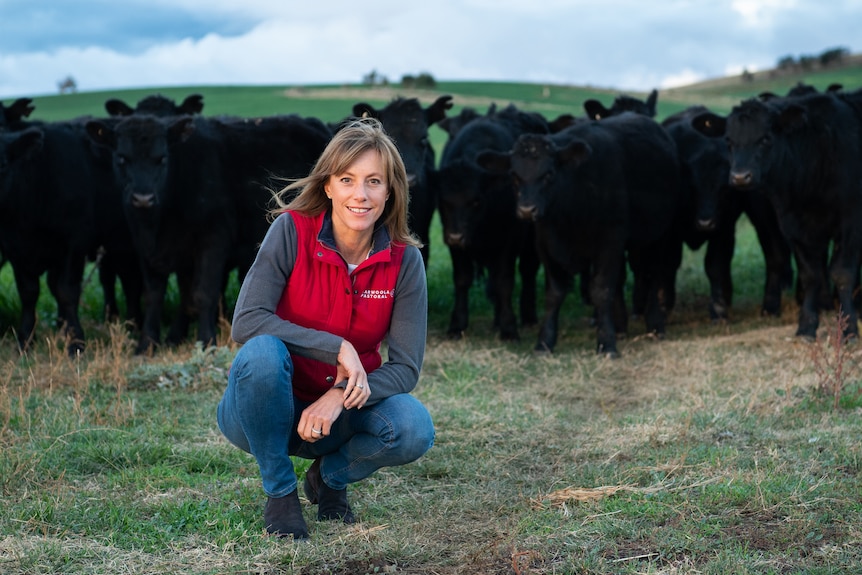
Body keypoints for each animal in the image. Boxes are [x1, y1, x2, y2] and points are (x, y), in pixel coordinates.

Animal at [436, 104, 544, 342]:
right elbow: (462, 279)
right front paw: (457, 324)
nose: (456, 237)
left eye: (476, 201)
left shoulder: (509, 242)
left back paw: (527, 317)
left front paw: (509, 328)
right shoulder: (455, 244)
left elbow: (504, 282)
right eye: (444, 201)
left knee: (527, 272)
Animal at [482, 112, 684, 356]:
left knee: (651, 275)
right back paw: (620, 327)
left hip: (657, 235)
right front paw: (544, 342)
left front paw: (606, 344)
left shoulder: (610, 241)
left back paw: (655, 326)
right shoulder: (546, 245)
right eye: (514, 175)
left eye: (549, 174)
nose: (527, 210)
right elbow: (555, 293)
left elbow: (601, 290)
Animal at [664, 106, 792, 322]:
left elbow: (715, 266)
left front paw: (718, 310)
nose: (705, 223)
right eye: (692, 188)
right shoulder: (671, 233)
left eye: (724, 190)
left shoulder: (724, 228)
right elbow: (668, 265)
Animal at [696, 91, 862, 340]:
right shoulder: (794, 227)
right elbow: (810, 275)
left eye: (765, 139)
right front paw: (806, 327)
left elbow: (842, 274)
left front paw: (849, 329)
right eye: (728, 141)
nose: (740, 177)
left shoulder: (850, 223)